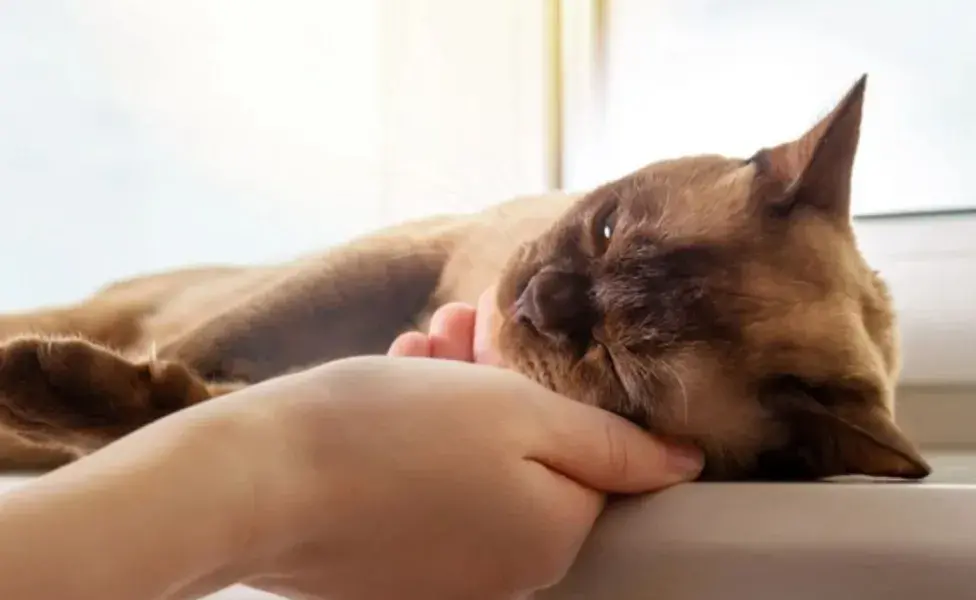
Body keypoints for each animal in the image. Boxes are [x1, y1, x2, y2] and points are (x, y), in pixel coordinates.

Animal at [0, 72, 932, 480]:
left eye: (615, 366)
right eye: (605, 226)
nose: (541, 298)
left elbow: (178, 408)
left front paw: (71, 397)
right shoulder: (403, 254)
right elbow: (198, 352)